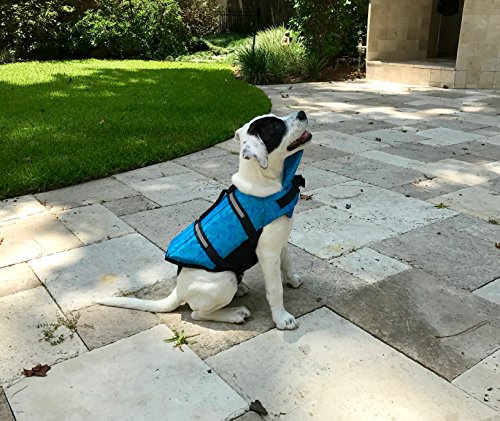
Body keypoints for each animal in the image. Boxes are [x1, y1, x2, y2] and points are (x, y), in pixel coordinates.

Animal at [97, 111, 312, 330]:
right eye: (276, 127)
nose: (302, 113)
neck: (262, 182)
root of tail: (178, 290)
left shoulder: (280, 243)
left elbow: (287, 263)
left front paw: (292, 280)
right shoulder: (267, 253)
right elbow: (275, 289)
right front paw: (282, 318)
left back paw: (240, 290)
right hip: (225, 278)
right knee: (197, 313)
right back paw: (234, 314)